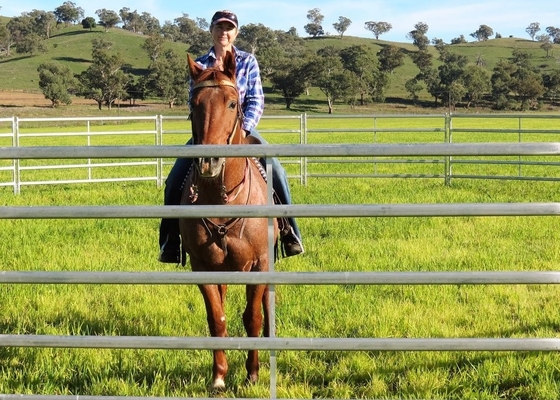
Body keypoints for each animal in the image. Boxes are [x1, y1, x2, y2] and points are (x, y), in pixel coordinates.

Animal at [178, 52, 276, 390]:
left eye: (233, 103)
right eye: (194, 104)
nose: (209, 162)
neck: (221, 200)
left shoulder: (259, 265)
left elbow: (253, 318)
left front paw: (252, 374)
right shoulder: (202, 267)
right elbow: (217, 320)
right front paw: (219, 377)